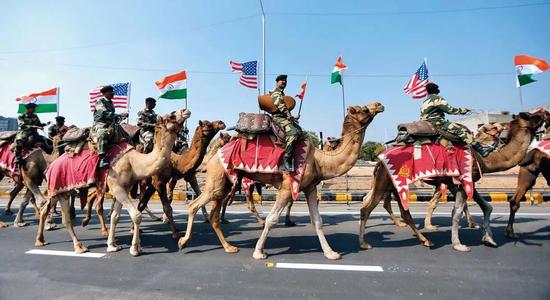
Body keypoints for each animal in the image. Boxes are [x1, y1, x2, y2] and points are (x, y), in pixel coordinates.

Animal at [35, 110, 190, 255]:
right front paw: (135, 249)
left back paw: (41, 240)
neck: (134, 162)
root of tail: (51, 166)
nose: (185, 111)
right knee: (64, 217)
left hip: (62, 190)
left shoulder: (125, 188)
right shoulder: (117, 187)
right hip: (57, 185)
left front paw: (112, 245)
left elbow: (116, 217)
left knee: (50, 211)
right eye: (172, 115)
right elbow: (136, 215)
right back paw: (78, 246)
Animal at [179, 102, 386, 258]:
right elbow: (272, 220)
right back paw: (183, 241)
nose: (379, 104)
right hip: (217, 179)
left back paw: (229, 247)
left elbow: (317, 221)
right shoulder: (287, 187)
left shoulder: (310, 187)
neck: (319, 160)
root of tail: (213, 156)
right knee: (194, 205)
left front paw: (331, 253)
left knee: (214, 214)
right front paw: (259, 252)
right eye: (364, 109)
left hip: (224, 182)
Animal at [362, 109, 548, 251]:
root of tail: (380, 159)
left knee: (401, 211)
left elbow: (486, 206)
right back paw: (364, 243)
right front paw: (458, 244)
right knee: (368, 207)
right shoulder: (461, 181)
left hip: (395, 184)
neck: (484, 159)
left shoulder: (462, 181)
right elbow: (457, 211)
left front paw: (488, 239)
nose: (544, 112)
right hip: (386, 181)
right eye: (529, 116)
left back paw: (425, 240)